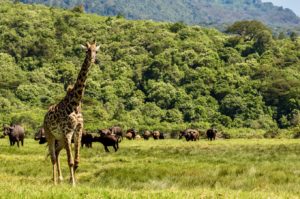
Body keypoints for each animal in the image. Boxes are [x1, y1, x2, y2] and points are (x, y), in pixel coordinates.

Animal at [43, 41, 100, 186]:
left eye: (96, 51)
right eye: (87, 51)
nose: (92, 59)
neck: (75, 103)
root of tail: (45, 116)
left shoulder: (78, 130)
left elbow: (76, 160)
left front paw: (71, 180)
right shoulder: (67, 131)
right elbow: (70, 161)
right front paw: (73, 183)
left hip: (60, 138)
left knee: (57, 152)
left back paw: (60, 178)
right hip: (50, 134)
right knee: (52, 156)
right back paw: (54, 181)